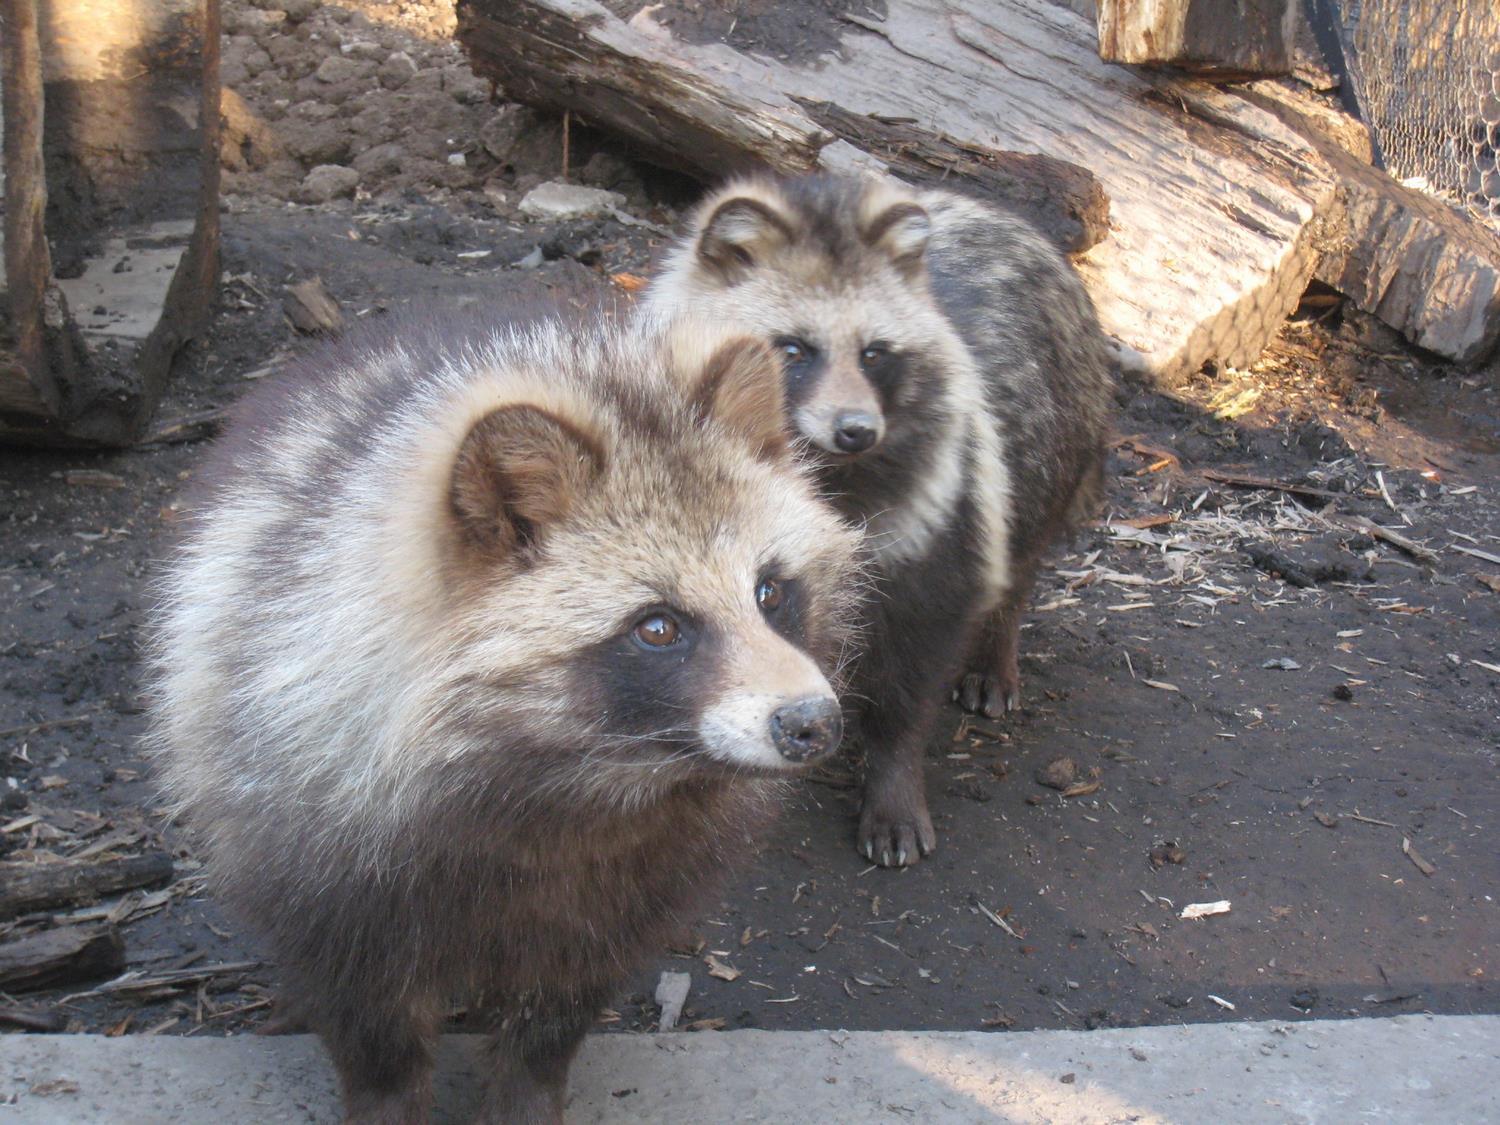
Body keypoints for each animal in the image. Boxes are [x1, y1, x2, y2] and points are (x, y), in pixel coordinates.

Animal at [149, 310, 870, 1125]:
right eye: (658, 627)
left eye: (770, 592)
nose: (813, 721)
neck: (572, 780)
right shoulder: (322, 852)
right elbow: (372, 1026)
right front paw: (385, 1092)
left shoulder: (622, 888)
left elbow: (549, 1023)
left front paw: (528, 1089)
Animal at [645, 169, 1116, 870]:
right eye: (794, 349)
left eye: (874, 354)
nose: (856, 431)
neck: (815, 463)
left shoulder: (938, 513)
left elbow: (914, 661)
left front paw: (892, 778)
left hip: (1058, 435)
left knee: (1019, 555)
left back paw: (997, 648)